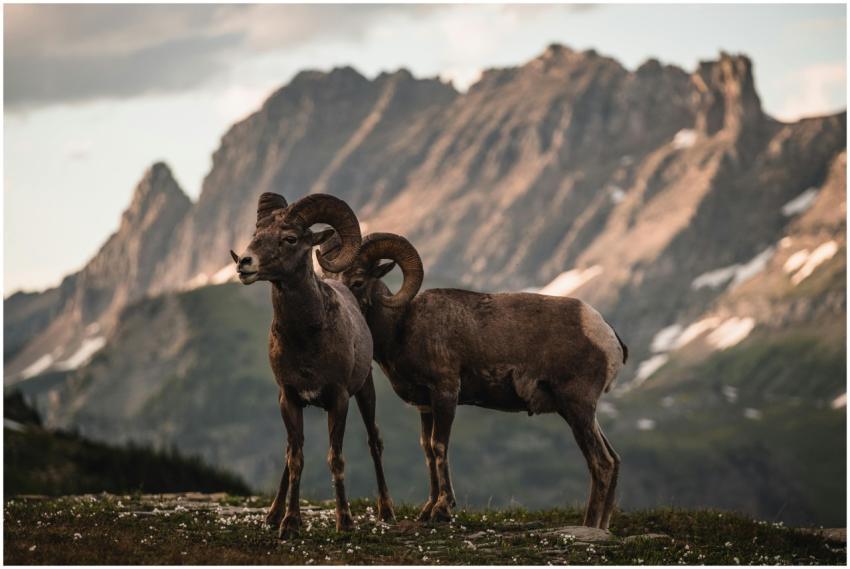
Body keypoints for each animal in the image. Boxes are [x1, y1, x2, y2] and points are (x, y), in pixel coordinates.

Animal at [230, 193, 394, 538]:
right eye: (256, 235)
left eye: (290, 238)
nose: (244, 263)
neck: (305, 339)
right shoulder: (290, 398)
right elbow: (295, 460)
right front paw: (289, 523)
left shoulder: (339, 399)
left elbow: (336, 459)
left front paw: (345, 522)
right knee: (289, 453)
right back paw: (272, 515)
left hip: (366, 392)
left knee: (374, 442)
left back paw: (387, 511)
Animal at [319, 232, 627, 530]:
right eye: (329, 279)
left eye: (358, 282)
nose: (341, 306)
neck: (402, 327)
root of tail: (607, 334)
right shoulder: (425, 406)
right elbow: (428, 450)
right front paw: (427, 511)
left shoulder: (445, 393)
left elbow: (439, 446)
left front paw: (442, 510)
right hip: (579, 412)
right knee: (613, 460)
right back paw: (601, 526)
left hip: (578, 408)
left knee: (601, 463)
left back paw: (590, 526)